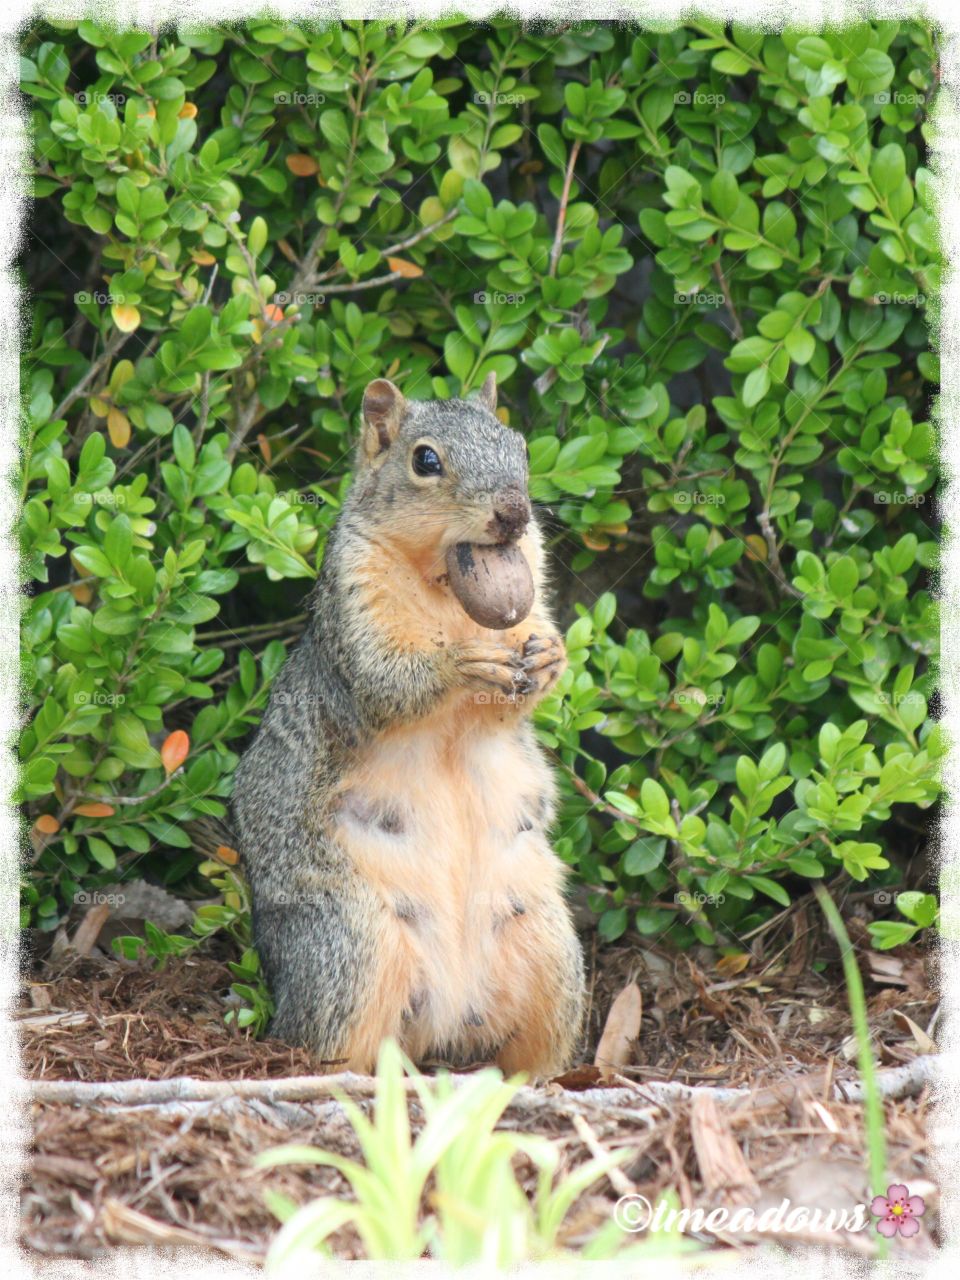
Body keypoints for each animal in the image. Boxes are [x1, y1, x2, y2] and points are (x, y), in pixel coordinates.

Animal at [231, 373, 584, 1076]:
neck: (447, 581)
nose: (514, 513)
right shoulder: (355, 609)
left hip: (549, 947)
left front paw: (550, 657)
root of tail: (446, 1017)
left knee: (531, 1050)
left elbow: (525, 679)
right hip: (351, 944)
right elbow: (386, 682)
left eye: (519, 444)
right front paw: (459, 664)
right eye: (425, 460)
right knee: (330, 1040)